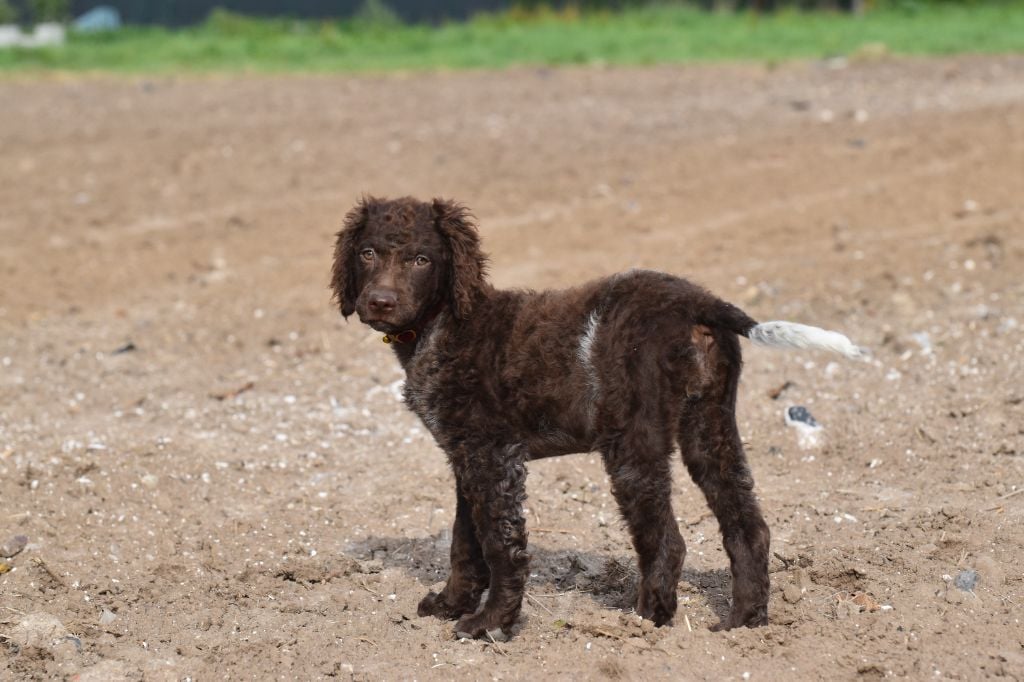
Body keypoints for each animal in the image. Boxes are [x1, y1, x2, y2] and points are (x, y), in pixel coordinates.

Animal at [331, 195, 860, 638]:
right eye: (368, 253)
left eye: (422, 259)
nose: (380, 302)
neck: (444, 325)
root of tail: (695, 300)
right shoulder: (465, 456)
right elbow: (466, 541)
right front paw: (450, 604)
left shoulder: (493, 457)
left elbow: (500, 544)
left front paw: (489, 624)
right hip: (709, 425)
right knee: (748, 528)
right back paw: (743, 625)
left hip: (632, 443)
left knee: (667, 541)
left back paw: (644, 623)